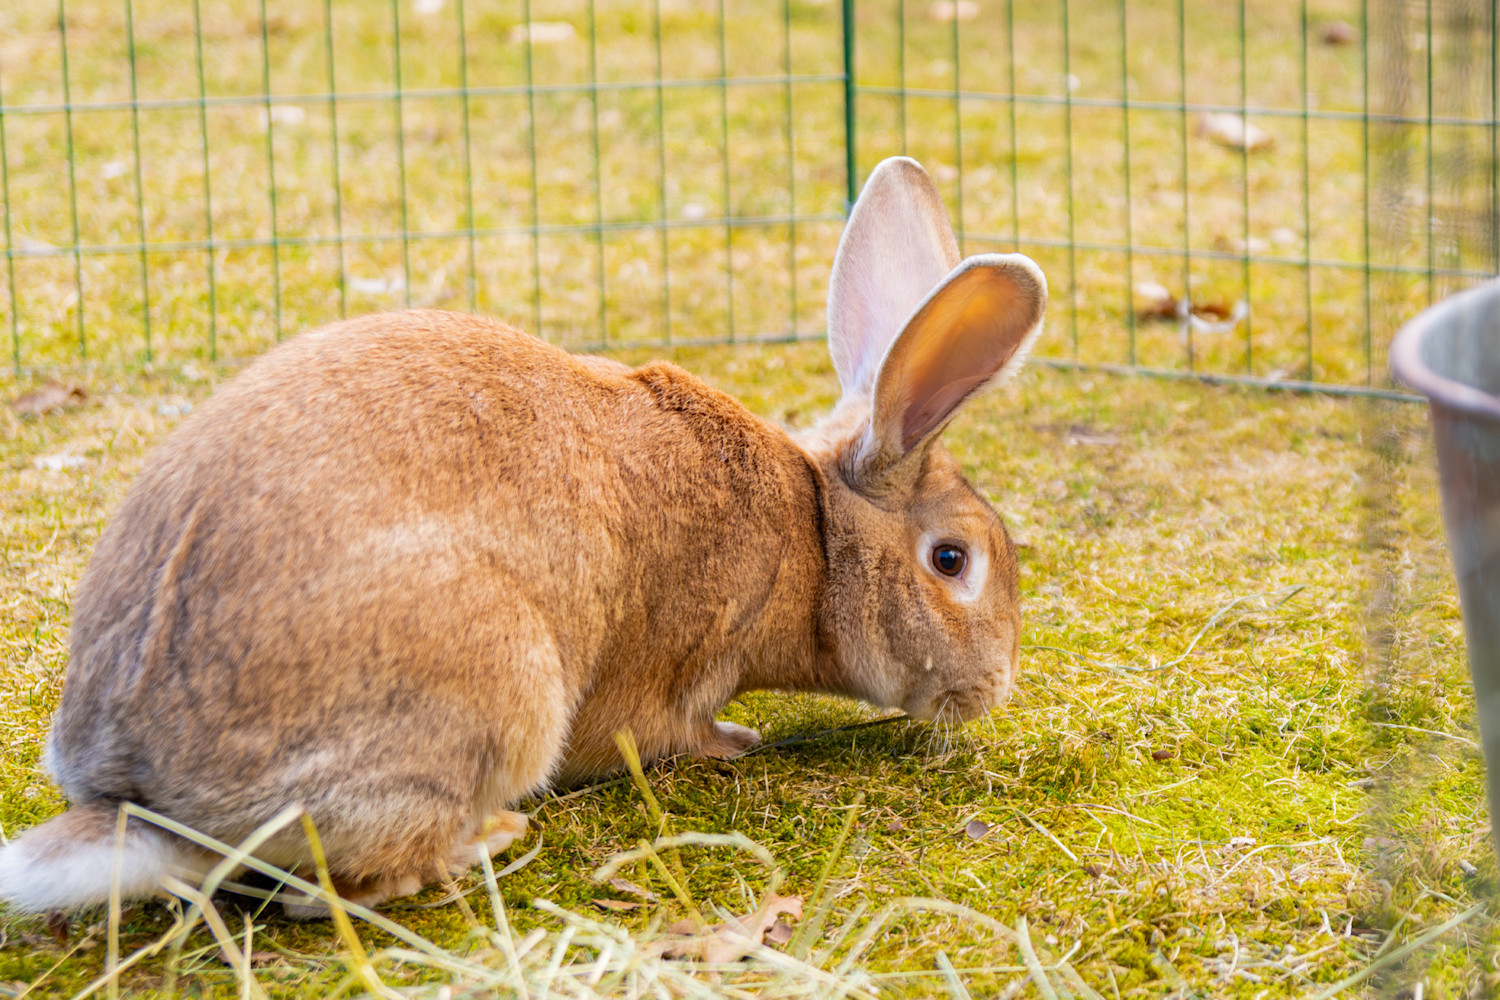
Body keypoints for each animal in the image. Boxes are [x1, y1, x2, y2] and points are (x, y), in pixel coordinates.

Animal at [0, 156, 1046, 915]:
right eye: (952, 560)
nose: (993, 689)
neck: (815, 539)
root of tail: (143, 802)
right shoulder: (663, 676)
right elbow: (660, 731)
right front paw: (737, 741)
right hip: (497, 689)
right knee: (336, 889)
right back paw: (489, 840)